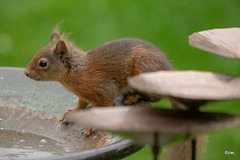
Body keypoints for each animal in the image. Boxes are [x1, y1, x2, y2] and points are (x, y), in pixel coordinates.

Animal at [24, 28, 173, 135]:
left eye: (43, 63)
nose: (26, 72)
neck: (76, 72)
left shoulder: (105, 89)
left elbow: (104, 108)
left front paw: (90, 127)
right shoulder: (83, 95)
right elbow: (81, 104)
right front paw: (72, 112)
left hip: (144, 67)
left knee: (155, 97)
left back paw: (133, 96)